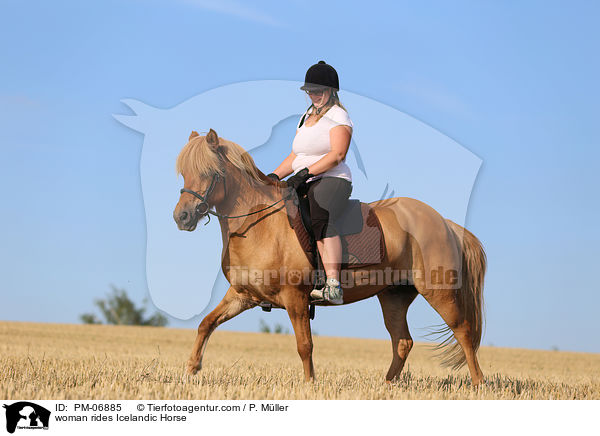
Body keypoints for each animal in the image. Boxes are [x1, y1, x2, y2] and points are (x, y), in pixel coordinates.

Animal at [173, 129, 488, 384]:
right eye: (184, 173)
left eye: (210, 173)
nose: (182, 217)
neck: (260, 225)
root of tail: (444, 222)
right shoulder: (242, 295)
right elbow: (206, 324)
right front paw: (189, 371)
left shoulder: (295, 298)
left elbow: (305, 346)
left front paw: (310, 385)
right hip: (394, 296)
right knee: (403, 342)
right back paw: (386, 386)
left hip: (438, 291)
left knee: (463, 332)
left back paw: (478, 384)